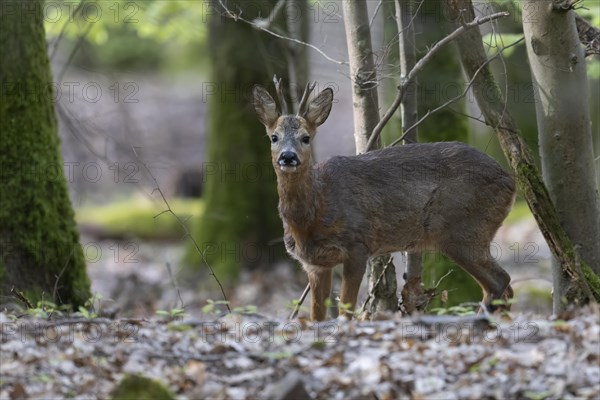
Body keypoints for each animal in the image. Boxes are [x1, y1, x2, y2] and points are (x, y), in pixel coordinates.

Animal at [251, 82, 512, 322]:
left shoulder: (357, 244)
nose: (288, 156)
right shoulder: (315, 265)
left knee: (500, 282)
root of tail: (510, 180)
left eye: (305, 138)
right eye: (274, 137)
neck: (314, 215)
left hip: (463, 230)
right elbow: (318, 316)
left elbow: (346, 309)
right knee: (503, 287)